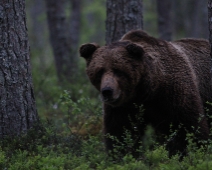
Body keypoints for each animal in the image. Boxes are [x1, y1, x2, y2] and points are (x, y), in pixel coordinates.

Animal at [79, 29, 212, 158]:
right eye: (99, 71)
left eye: (118, 71)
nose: (107, 91)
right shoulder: (122, 109)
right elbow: (120, 132)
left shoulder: (175, 94)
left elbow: (190, 127)